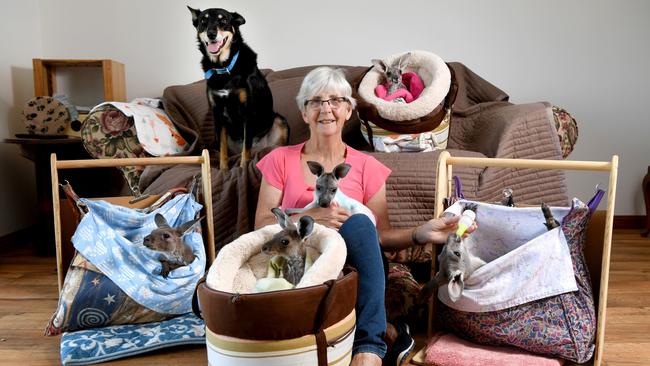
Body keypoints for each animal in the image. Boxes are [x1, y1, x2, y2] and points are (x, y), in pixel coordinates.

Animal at [189, 6, 288, 170]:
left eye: (223, 20)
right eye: (203, 21)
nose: (211, 34)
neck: (223, 68)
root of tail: (258, 149)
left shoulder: (248, 112)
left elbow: (245, 149)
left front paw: (242, 168)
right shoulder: (217, 113)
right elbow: (223, 148)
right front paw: (223, 169)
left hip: (280, 121)